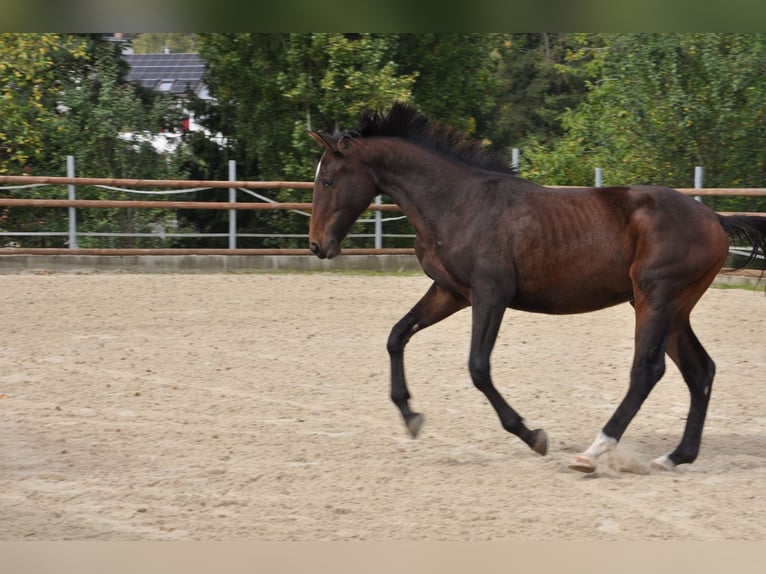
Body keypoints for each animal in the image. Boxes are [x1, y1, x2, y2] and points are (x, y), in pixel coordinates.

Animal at [306, 101, 766, 474]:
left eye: (327, 180)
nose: (316, 246)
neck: (457, 203)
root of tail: (714, 219)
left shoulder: (491, 295)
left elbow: (478, 367)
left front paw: (532, 436)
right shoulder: (450, 292)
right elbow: (397, 335)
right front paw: (410, 417)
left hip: (656, 300)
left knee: (647, 371)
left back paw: (592, 453)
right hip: (673, 309)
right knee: (700, 370)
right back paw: (674, 457)